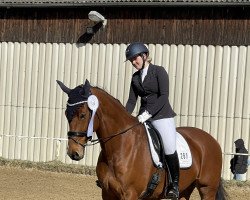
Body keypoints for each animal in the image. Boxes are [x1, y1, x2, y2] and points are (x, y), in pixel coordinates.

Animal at [57, 79, 229, 200]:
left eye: (83, 115)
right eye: (66, 114)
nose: (73, 153)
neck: (119, 146)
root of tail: (211, 139)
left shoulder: (129, 194)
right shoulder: (107, 194)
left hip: (207, 189)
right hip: (185, 189)